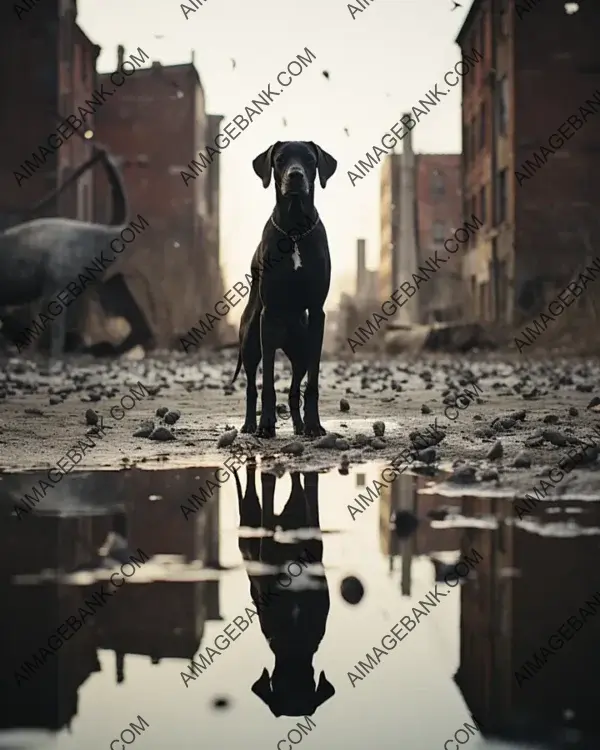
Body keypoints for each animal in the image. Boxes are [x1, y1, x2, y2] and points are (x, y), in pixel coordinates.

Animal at [231, 140, 338, 440]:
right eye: (280, 160)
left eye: (310, 159)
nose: (295, 175)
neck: (294, 230)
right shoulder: (268, 316)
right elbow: (266, 383)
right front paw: (266, 424)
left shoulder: (317, 313)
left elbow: (311, 384)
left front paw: (313, 425)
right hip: (250, 343)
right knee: (251, 386)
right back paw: (250, 424)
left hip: (300, 352)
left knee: (293, 389)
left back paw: (300, 426)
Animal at [233, 468, 336, 720]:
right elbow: (267, 489)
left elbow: (310, 487)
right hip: (248, 518)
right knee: (252, 492)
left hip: (294, 507)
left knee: (297, 487)